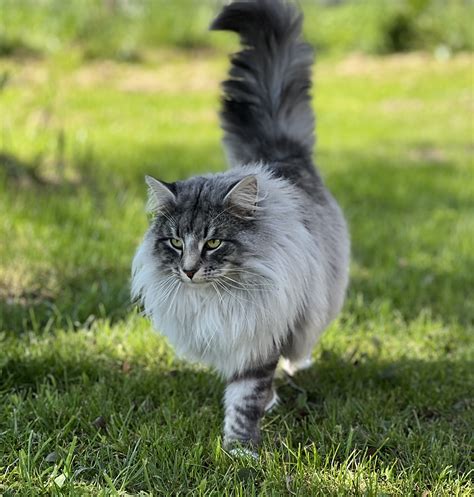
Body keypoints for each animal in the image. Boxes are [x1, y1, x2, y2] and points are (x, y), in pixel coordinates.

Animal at [131, 0, 350, 452]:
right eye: (175, 242)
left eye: (213, 243)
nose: (189, 270)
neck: (216, 299)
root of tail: (278, 154)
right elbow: (245, 394)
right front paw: (238, 447)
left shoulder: (260, 335)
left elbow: (245, 397)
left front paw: (239, 450)